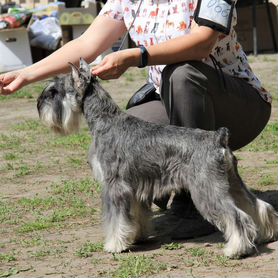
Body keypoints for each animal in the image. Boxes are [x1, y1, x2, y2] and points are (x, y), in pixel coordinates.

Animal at [37, 58, 278, 258]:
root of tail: (218, 137)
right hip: (231, 182)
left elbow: (116, 219)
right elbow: (136, 216)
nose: (39, 104)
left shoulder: (115, 186)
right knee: (257, 205)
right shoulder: (134, 188)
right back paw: (265, 234)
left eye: (54, 91)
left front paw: (115, 244)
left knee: (237, 216)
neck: (105, 119)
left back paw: (236, 249)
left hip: (206, 189)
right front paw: (136, 237)